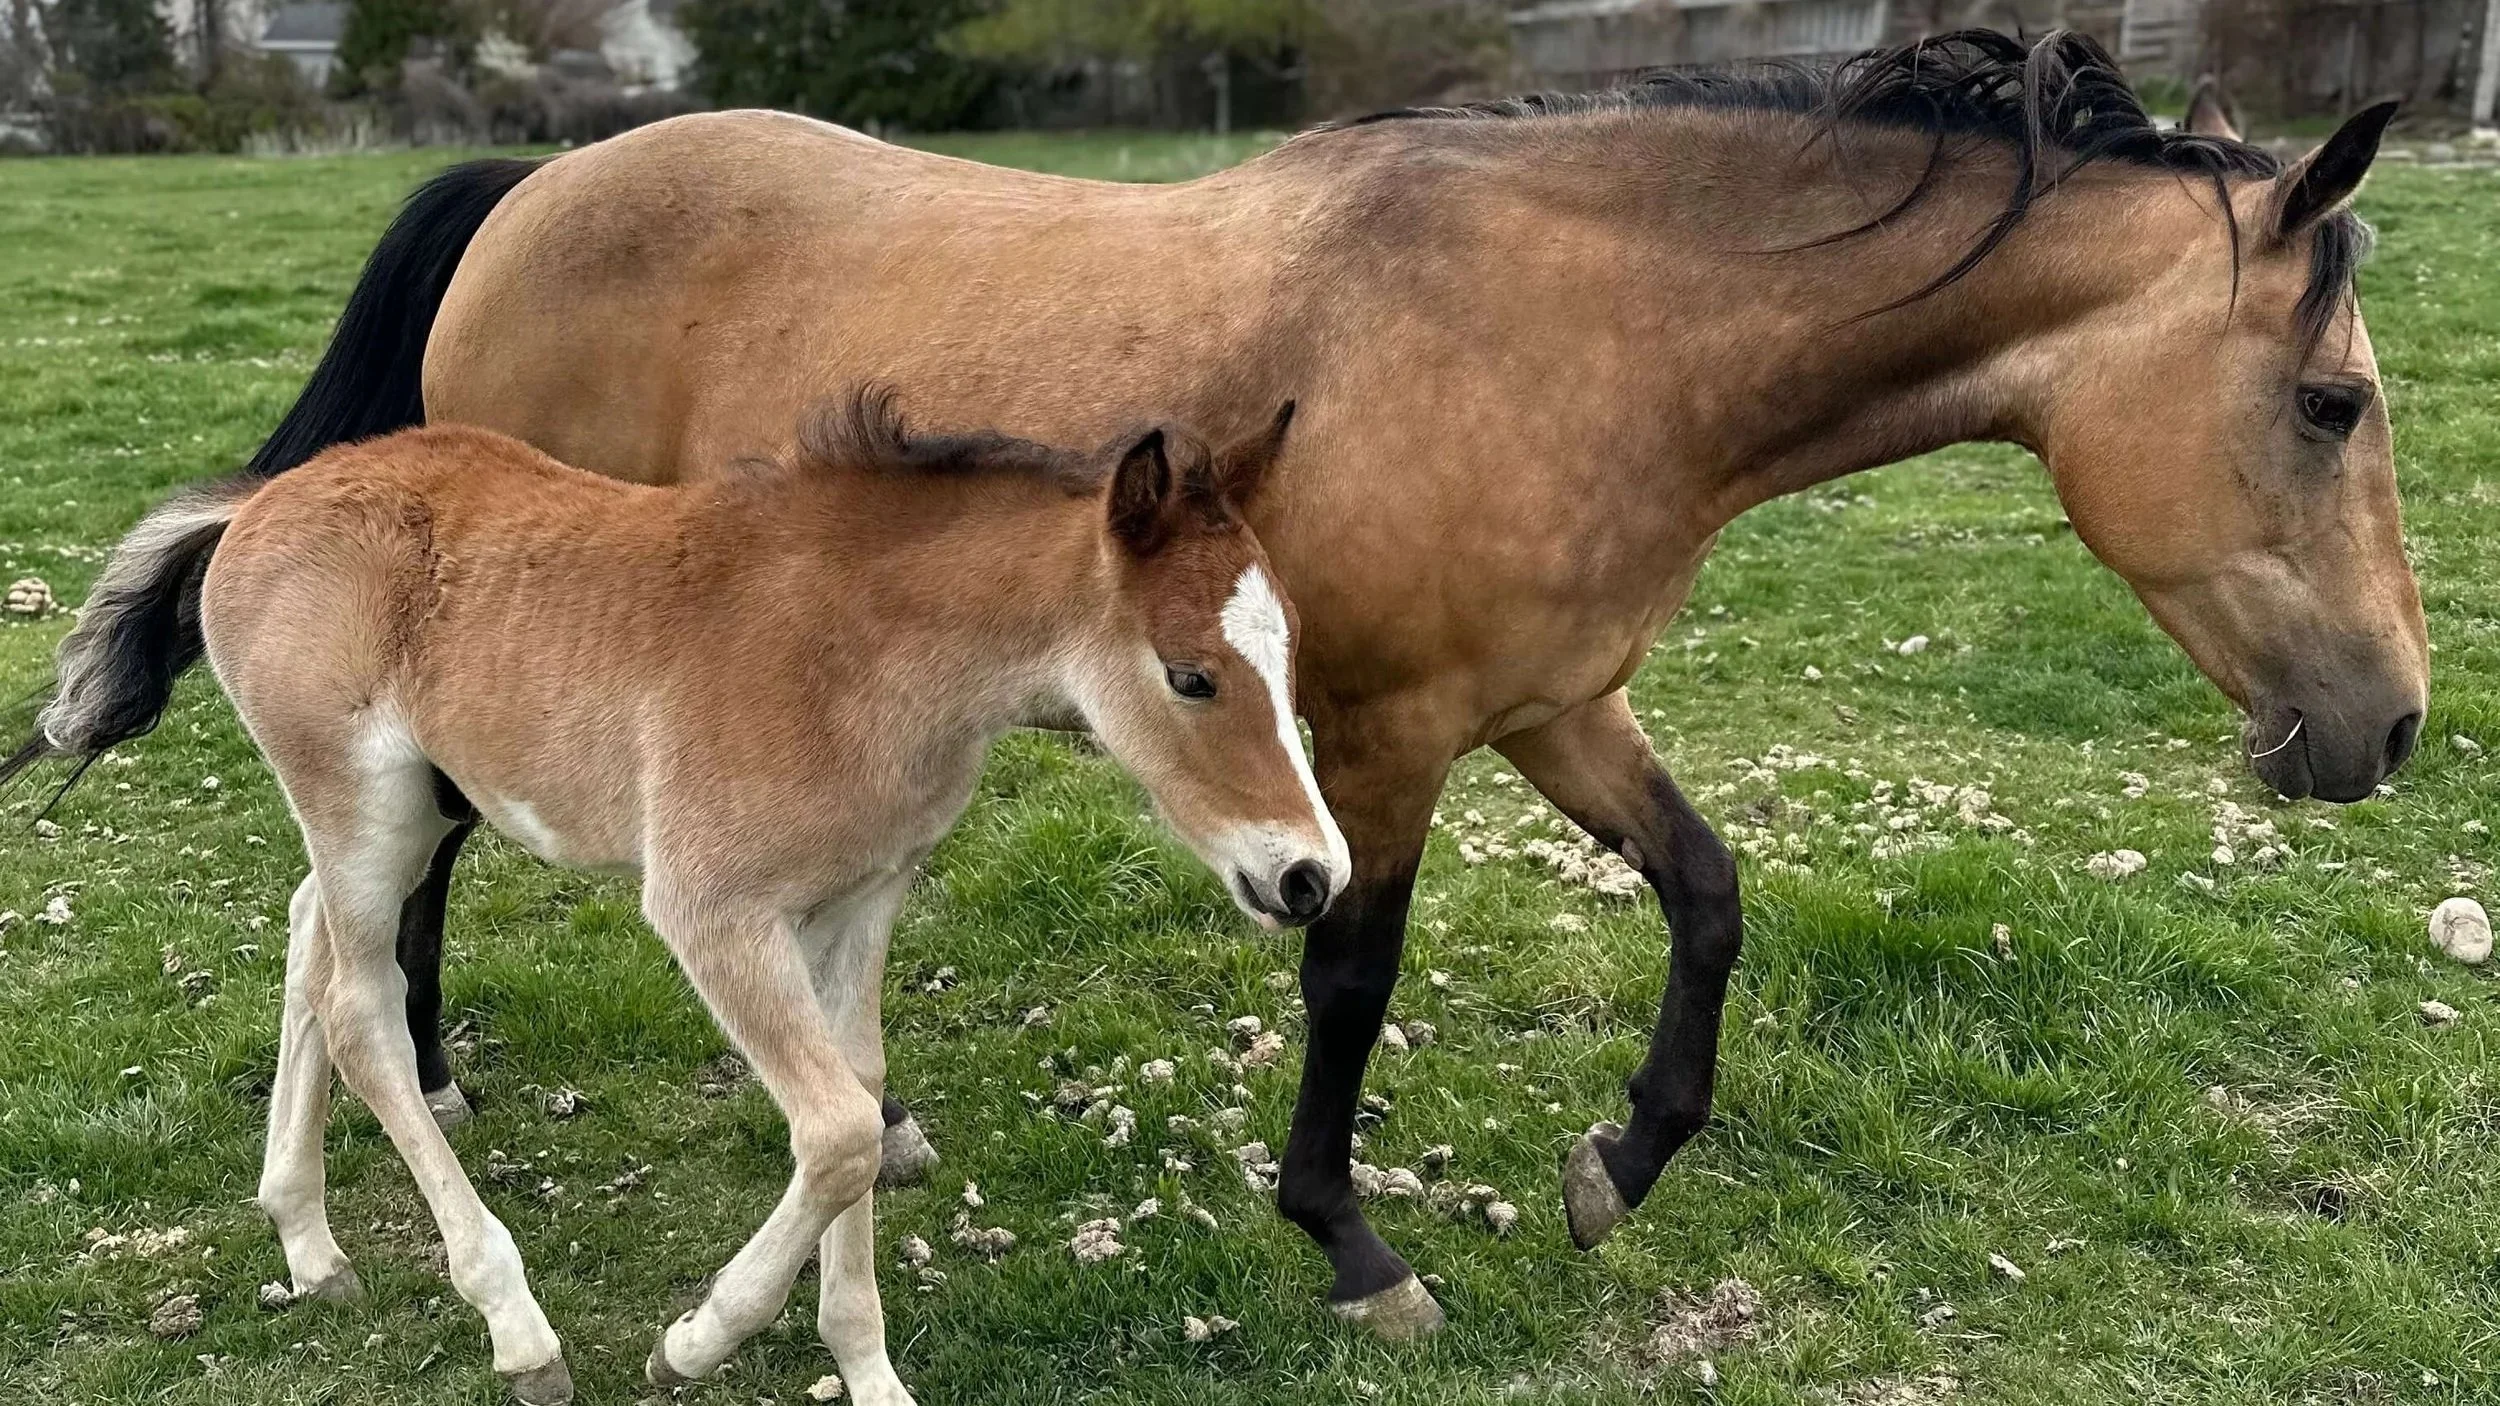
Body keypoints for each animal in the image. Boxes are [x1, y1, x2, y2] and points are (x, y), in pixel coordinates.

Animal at [24, 394, 1339, 1404]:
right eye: (1189, 675)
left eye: (1289, 654)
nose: (1309, 876)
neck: (857, 656)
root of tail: (257, 502)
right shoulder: (713, 910)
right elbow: (840, 1130)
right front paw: (694, 1340)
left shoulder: (860, 901)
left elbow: (860, 1102)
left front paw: (868, 1370)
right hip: (363, 801)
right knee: (360, 1011)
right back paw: (516, 1326)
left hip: (405, 812)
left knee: (310, 938)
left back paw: (307, 1240)